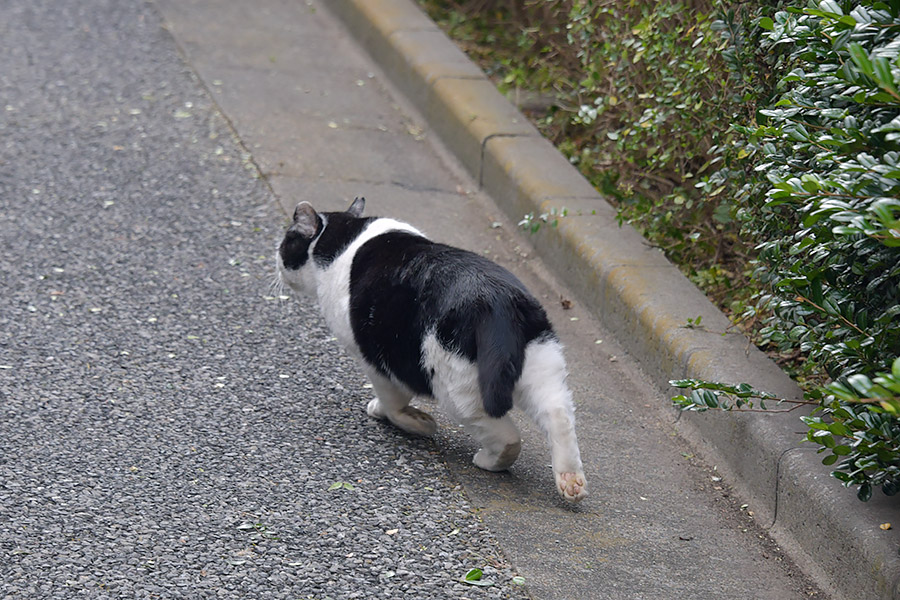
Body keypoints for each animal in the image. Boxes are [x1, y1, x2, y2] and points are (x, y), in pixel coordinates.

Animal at [278, 198, 588, 502]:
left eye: (286, 240)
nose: (275, 257)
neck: (345, 236)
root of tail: (497, 299)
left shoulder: (377, 360)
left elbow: (393, 401)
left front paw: (413, 421)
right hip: (542, 367)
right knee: (558, 414)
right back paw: (570, 481)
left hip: (455, 390)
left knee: (507, 436)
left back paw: (491, 461)